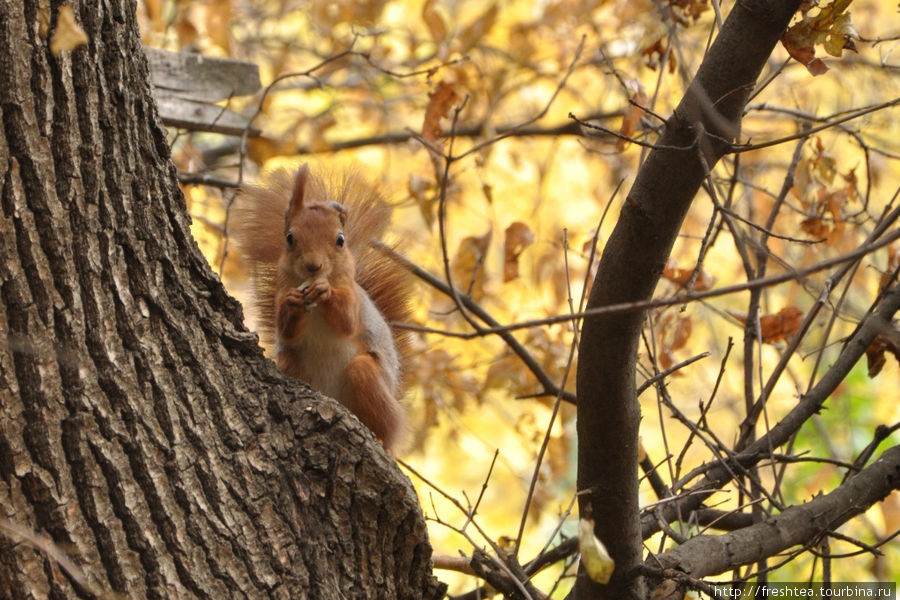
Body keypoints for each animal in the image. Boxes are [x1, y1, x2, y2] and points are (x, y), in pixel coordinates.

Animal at [232, 164, 414, 450]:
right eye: (290, 238)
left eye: (340, 240)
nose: (313, 266)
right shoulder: (281, 295)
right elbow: (286, 329)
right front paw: (293, 304)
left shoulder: (354, 300)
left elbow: (347, 321)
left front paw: (325, 291)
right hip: (292, 363)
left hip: (370, 380)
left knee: (380, 409)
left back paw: (381, 438)